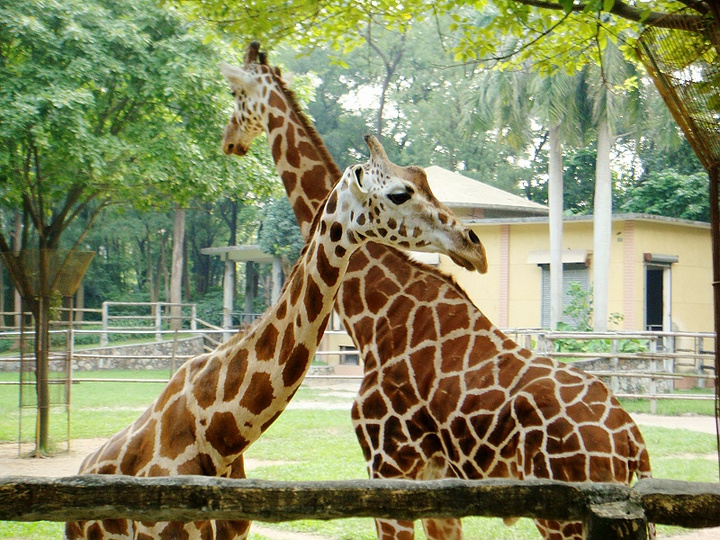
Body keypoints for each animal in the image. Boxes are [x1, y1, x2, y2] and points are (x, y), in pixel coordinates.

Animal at [222, 43, 656, 540]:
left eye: (236, 94)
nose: (230, 140)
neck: (375, 315)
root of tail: (632, 443)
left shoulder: (388, 467)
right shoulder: (436, 486)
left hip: (566, 514)